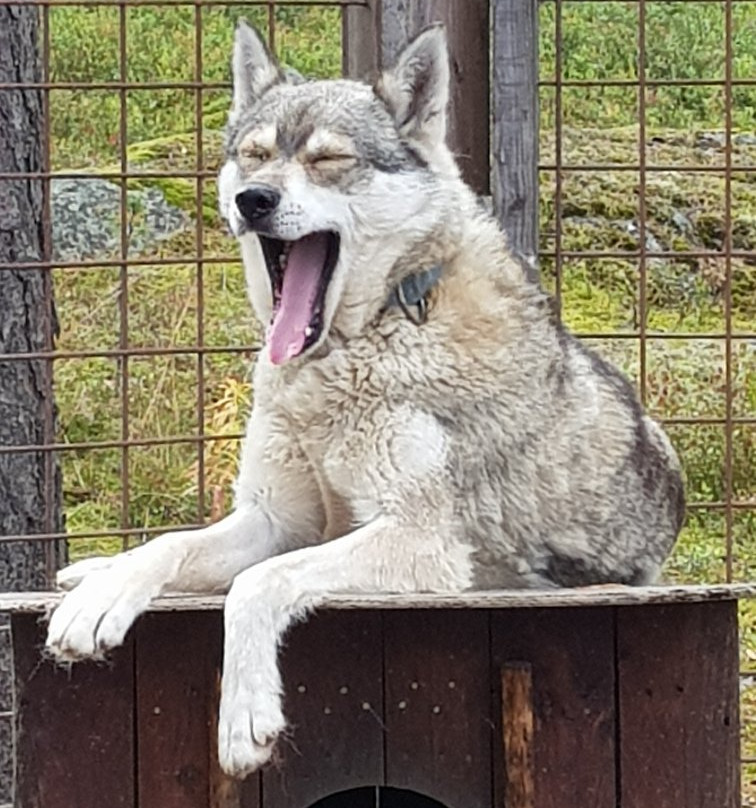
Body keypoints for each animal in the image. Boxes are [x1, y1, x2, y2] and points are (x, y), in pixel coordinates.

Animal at [45, 20, 684, 776]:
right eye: (255, 156)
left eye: (327, 159)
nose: (252, 200)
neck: (359, 344)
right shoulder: (274, 519)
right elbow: (169, 545)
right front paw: (102, 599)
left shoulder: (418, 541)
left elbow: (257, 584)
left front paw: (245, 716)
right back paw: (88, 571)